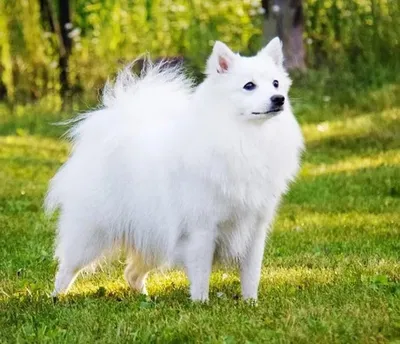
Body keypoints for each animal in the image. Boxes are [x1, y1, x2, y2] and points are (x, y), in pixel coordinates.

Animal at [45, 37, 304, 300]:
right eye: (249, 86)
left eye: (275, 83)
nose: (278, 98)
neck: (245, 136)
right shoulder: (202, 229)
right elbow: (201, 275)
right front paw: (201, 303)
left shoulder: (254, 229)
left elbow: (251, 275)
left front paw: (250, 303)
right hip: (93, 233)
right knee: (68, 267)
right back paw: (56, 297)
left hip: (152, 236)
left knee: (132, 274)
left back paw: (146, 298)